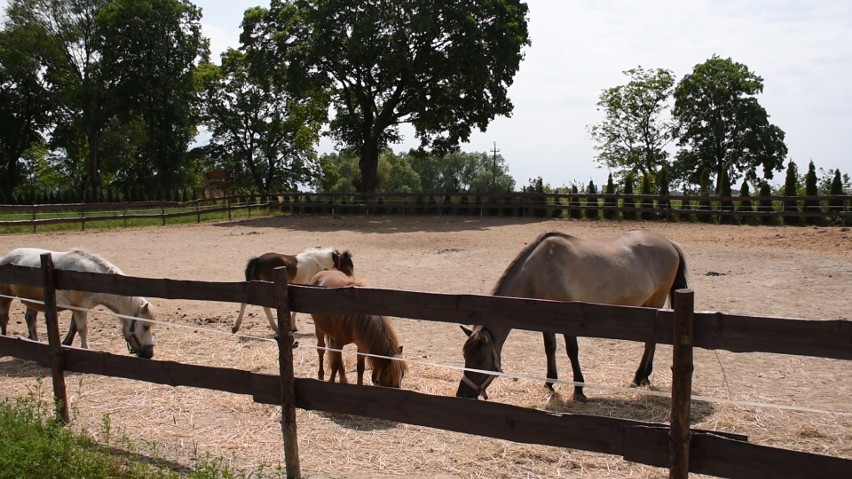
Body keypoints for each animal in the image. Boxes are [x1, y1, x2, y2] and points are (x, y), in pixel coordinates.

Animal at [0, 249, 156, 358]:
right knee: (5, 319)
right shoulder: (81, 309)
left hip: (33, 302)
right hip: (6, 297)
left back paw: (36, 342)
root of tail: (4, 258)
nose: (149, 354)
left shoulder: (77, 308)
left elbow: (73, 327)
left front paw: (66, 344)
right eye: (145, 327)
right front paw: (85, 349)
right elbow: (82, 330)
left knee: (30, 320)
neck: (89, 277)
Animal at [456, 231, 688, 404]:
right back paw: (645, 377)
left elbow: (572, 351)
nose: (462, 395)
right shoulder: (543, 319)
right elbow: (550, 348)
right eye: (465, 356)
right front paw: (550, 382)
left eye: (480, 359)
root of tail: (670, 243)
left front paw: (579, 390)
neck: (540, 270)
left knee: (650, 342)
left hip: (655, 303)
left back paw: (638, 377)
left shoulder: (569, 321)